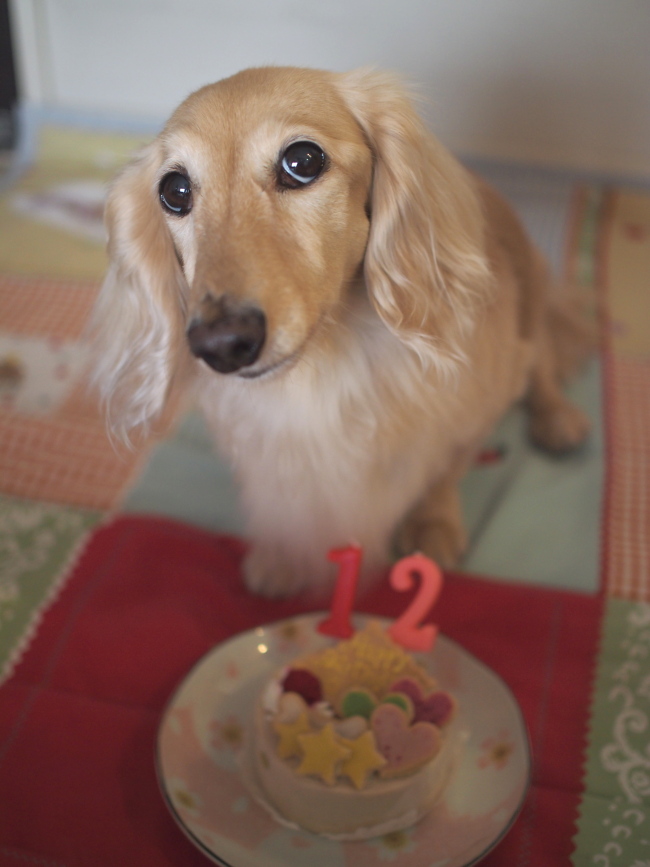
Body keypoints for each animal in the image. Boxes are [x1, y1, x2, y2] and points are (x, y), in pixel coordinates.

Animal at [91, 68, 592, 596]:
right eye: (174, 191)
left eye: (302, 161)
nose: (220, 345)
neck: (326, 367)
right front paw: (285, 552)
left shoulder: (475, 412)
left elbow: (444, 470)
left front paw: (431, 522)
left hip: (533, 300)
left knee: (544, 363)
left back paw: (558, 417)